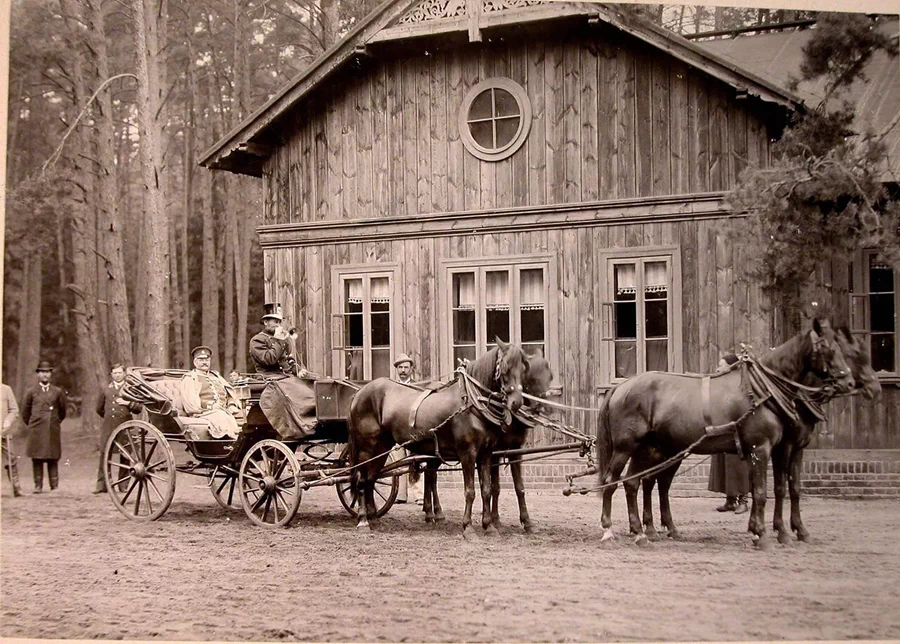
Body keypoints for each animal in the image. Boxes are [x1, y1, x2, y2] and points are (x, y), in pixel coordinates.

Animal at [348, 340, 536, 536]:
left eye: (523, 368)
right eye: (505, 367)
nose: (517, 402)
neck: (473, 403)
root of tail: (359, 393)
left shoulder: (486, 453)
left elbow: (486, 490)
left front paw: (489, 526)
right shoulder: (467, 453)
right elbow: (470, 491)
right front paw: (468, 527)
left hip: (383, 446)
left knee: (372, 479)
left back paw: (374, 518)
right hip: (366, 447)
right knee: (362, 479)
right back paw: (363, 519)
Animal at [596, 316, 856, 548]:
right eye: (827, 348)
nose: (850, 382)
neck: (763, 390)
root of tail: (621, 386)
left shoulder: (782, 449)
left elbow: (786, 488)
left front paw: (782, 531)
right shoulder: (763, 448)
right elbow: (762, 491)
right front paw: (764, 534)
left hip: (650, 449)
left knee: (636, 483)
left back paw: (642, 531)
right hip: (626, 447)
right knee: (613, 482)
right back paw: (609, 529)